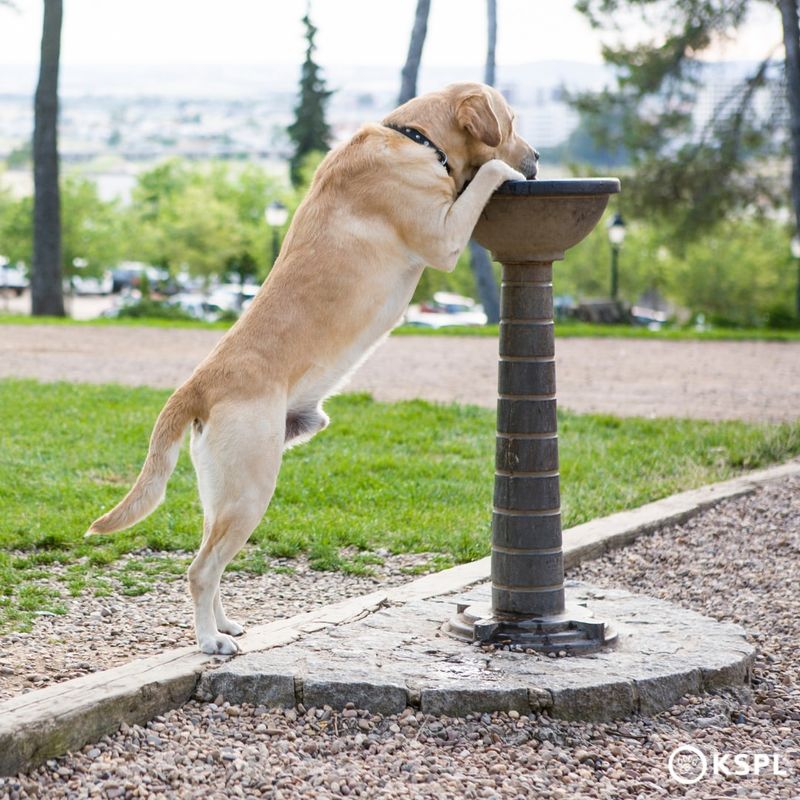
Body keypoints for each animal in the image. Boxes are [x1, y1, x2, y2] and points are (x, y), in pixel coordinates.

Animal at [86, 83, 536, 656]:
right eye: (512, 121)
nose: (537, 158)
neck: (416, 137)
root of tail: (195, 386)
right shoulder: (443, 237)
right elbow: (485, 175)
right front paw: (504, 169)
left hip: (222, 494)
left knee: (212, 559)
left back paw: (225, 624)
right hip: (252, 488)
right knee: (200, 569)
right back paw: (210, 641)